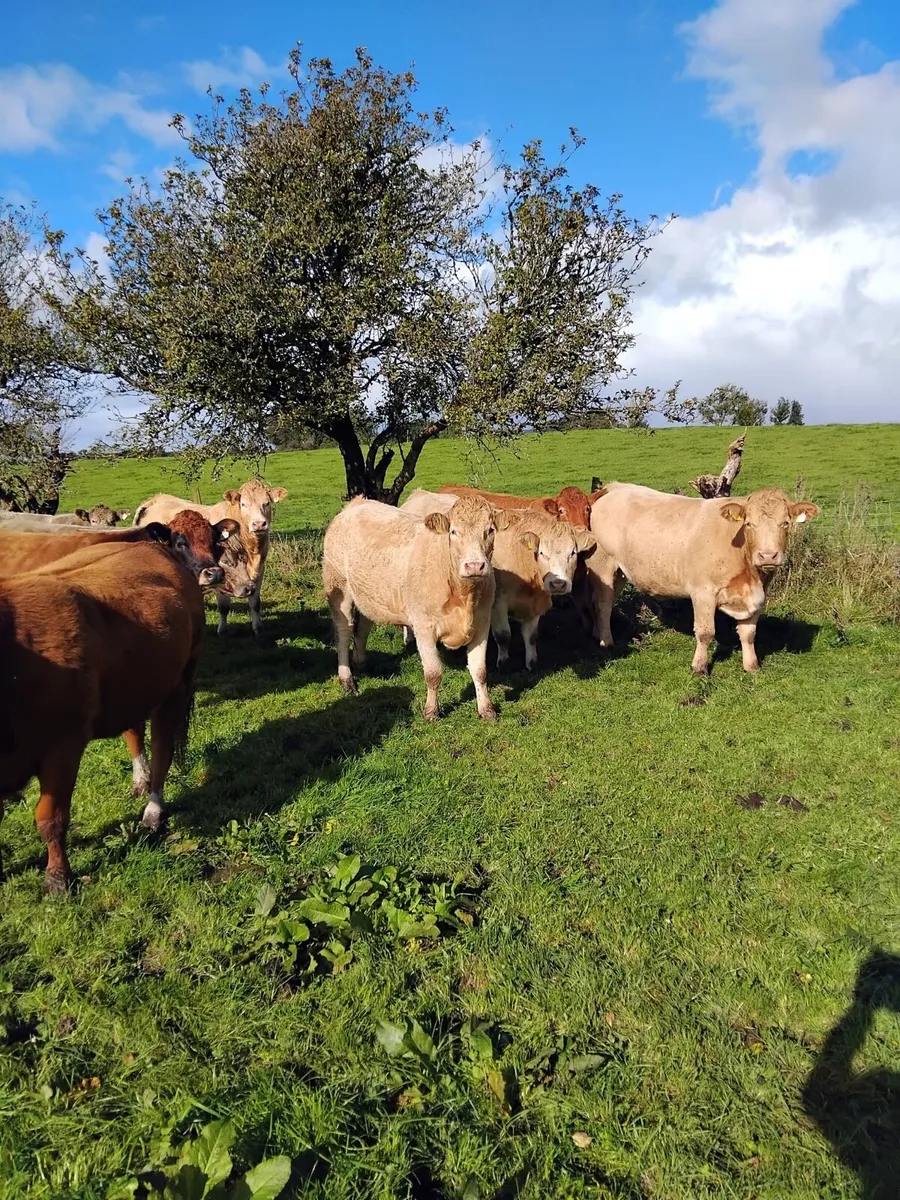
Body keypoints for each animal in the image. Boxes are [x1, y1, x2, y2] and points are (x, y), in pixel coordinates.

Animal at [0, 540, 206, 892]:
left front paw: (58, 878)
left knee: (162, 748)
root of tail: (149, 545)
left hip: (177, 685)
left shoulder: (63, 745)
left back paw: (153, 810)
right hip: (133, 688)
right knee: (134, 732)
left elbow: (51, 818)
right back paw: (140, 781)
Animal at [134, 480, 288, 636]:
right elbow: (223, 606)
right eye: (244, 504)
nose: (259, 524)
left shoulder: (260, 569)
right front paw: (222, 630)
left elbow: (255, 603)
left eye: (267, 503)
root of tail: (154, 499)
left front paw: (257, 628)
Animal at [323, 495, 505, 721]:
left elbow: (480, 671)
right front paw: (431, 712)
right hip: (338, 587)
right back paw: (347, 681)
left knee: (362, 629)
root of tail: (356, 503)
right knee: (344, 633)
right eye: (454, 531)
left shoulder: (481, 624)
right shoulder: (423, 626)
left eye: (490, 530)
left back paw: (361, 663)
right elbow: (434, 673)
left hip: (370, 595)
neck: (463, 594)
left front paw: (487, 710)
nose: (474, 566)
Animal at [402, 490, 595, 670]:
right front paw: (503, 663)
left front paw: (531, 663)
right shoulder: (498, 602)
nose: (558, 584)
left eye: (573, 553)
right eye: (542, 553)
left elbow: (531, 637)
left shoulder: (533, 604)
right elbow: (504, 635)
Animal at [585, 484, 820, 673]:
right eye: (749, 524)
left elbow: (749, 633)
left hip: (619, 573)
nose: (768, 555)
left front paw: (751, 666)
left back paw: (598, 634)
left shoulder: (758, 595)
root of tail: (614, 487)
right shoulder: (703, 592)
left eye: (786, 523)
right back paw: (607, 642)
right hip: (603, 566)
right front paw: (699, 667)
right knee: (603, 605)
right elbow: (706, 632)